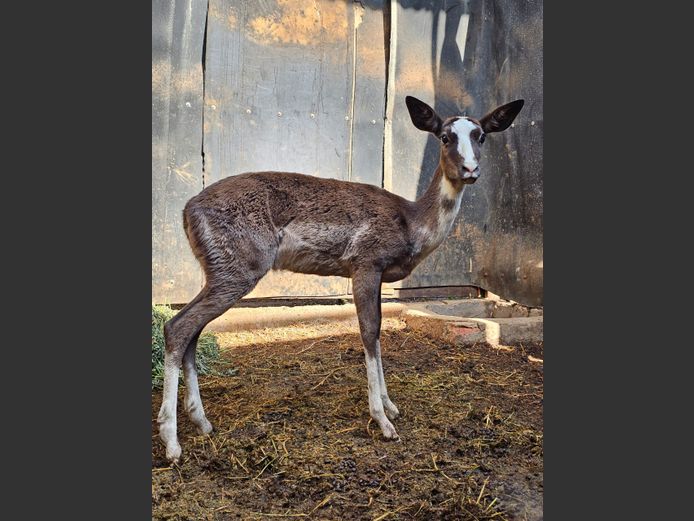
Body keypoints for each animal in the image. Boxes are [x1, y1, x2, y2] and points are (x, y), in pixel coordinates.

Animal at [157, 95, 524, 462]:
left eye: (481, 135)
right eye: (445, 136)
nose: (470, 170)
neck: (412, 223)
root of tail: (186, 212)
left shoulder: (377, 274)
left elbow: (378, 332)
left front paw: (392, 407)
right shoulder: (366, 262)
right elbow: (369, 331)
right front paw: (383, 421)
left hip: (218, 270)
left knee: (191, 330)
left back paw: (202, 423)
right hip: (238, 268)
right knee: (177, 326)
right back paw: (172, 442)